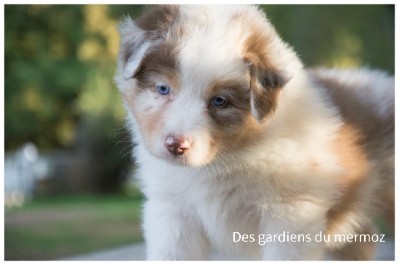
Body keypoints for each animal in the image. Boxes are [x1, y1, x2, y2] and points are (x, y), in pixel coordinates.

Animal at [113, 5, 394, 260]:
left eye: (219, 101)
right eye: (162, 88)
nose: (175, 145)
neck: (226, 158)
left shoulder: (292, 213)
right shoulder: (173, 211)